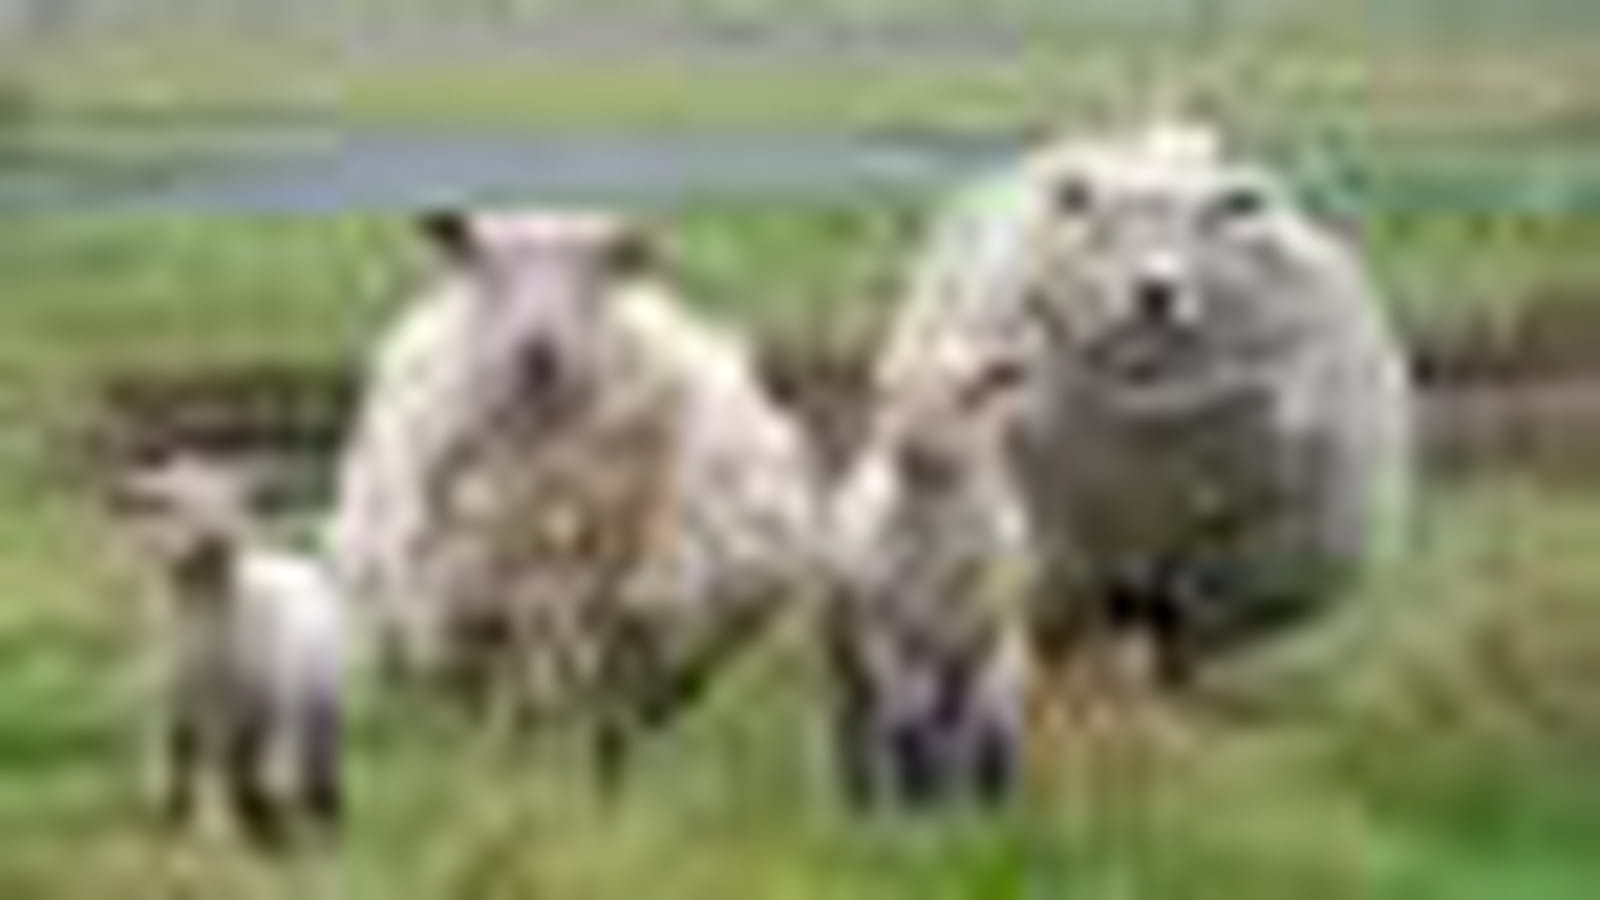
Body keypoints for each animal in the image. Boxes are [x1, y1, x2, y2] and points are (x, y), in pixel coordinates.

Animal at [118, 453, 343, 848]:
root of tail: (293, 560)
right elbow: (180, 758)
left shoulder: (248, 709)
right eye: (171, 502)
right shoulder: (178, 704)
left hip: (311, 704)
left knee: (308, 767)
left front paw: (246, 827)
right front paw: (174, 816)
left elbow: (237, 768)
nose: (214, 538)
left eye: (232, 498)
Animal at [328, 210, 820, 777]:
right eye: (488, 267)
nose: (538, 353)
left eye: (595, 271)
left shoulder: (626, 625)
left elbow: (604, 727)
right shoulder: (486, 624)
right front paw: (515, 784)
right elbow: (511, 727)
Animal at [884, 120, 1413, 688]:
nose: (1155, 293)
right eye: (1107, 229)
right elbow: (1061, 639)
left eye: (1205, 224)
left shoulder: (1232, 561)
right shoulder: (1065, 547)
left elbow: (1182, 649)